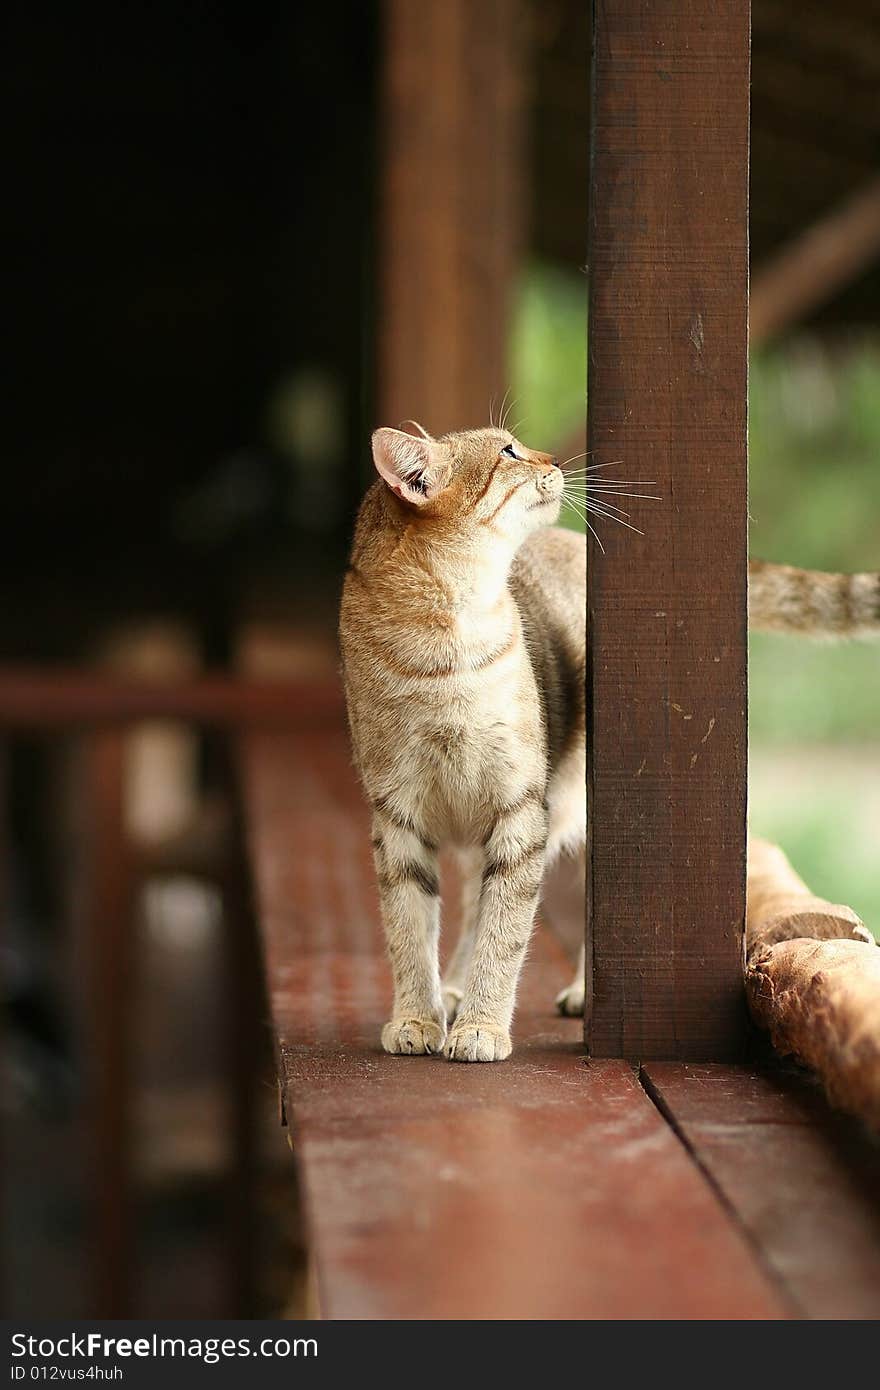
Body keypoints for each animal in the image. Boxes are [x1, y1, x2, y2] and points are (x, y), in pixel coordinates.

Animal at [337, 422, 878, 1061]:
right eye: (508, 452)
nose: (553, 459)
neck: (446, 643)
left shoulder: (519, 810)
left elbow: (504, 936)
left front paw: (482, 1026)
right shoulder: (397, 817)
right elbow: (410, 931)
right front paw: (419, 1017)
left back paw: (569, 992)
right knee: (472, 910)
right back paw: (456, 989)